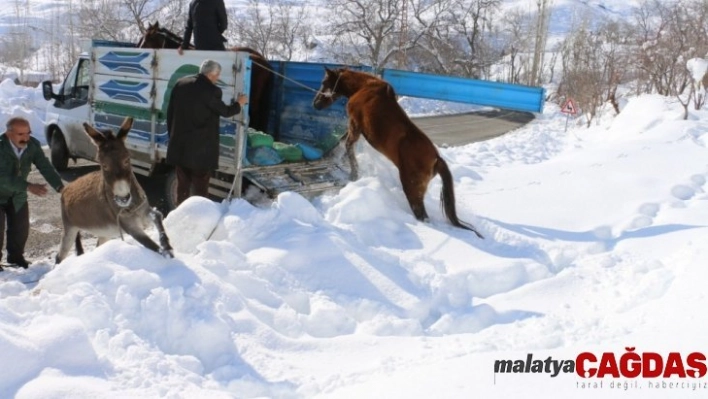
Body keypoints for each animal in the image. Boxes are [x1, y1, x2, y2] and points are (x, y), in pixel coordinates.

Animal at [55, 117, 174, 264]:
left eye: (127, 159)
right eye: (103, 165)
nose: (123, 198)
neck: (131, 206)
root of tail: (66, 188)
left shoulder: (144, 211)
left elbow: (157, 216)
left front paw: (167, 246)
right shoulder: (131, 228)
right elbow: (153, 247)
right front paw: (168, 256)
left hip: (103, 233)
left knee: (97, 247)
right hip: (70, 229)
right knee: (59, 256)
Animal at [312, 67, 484, 239]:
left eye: (324, 82)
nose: (316, 103)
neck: (364, 87)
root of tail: (436, 159)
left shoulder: (355, 124)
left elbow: (347, 146)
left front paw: (353, 174)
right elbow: (341, 142)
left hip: (412, 189)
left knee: (422, 215)